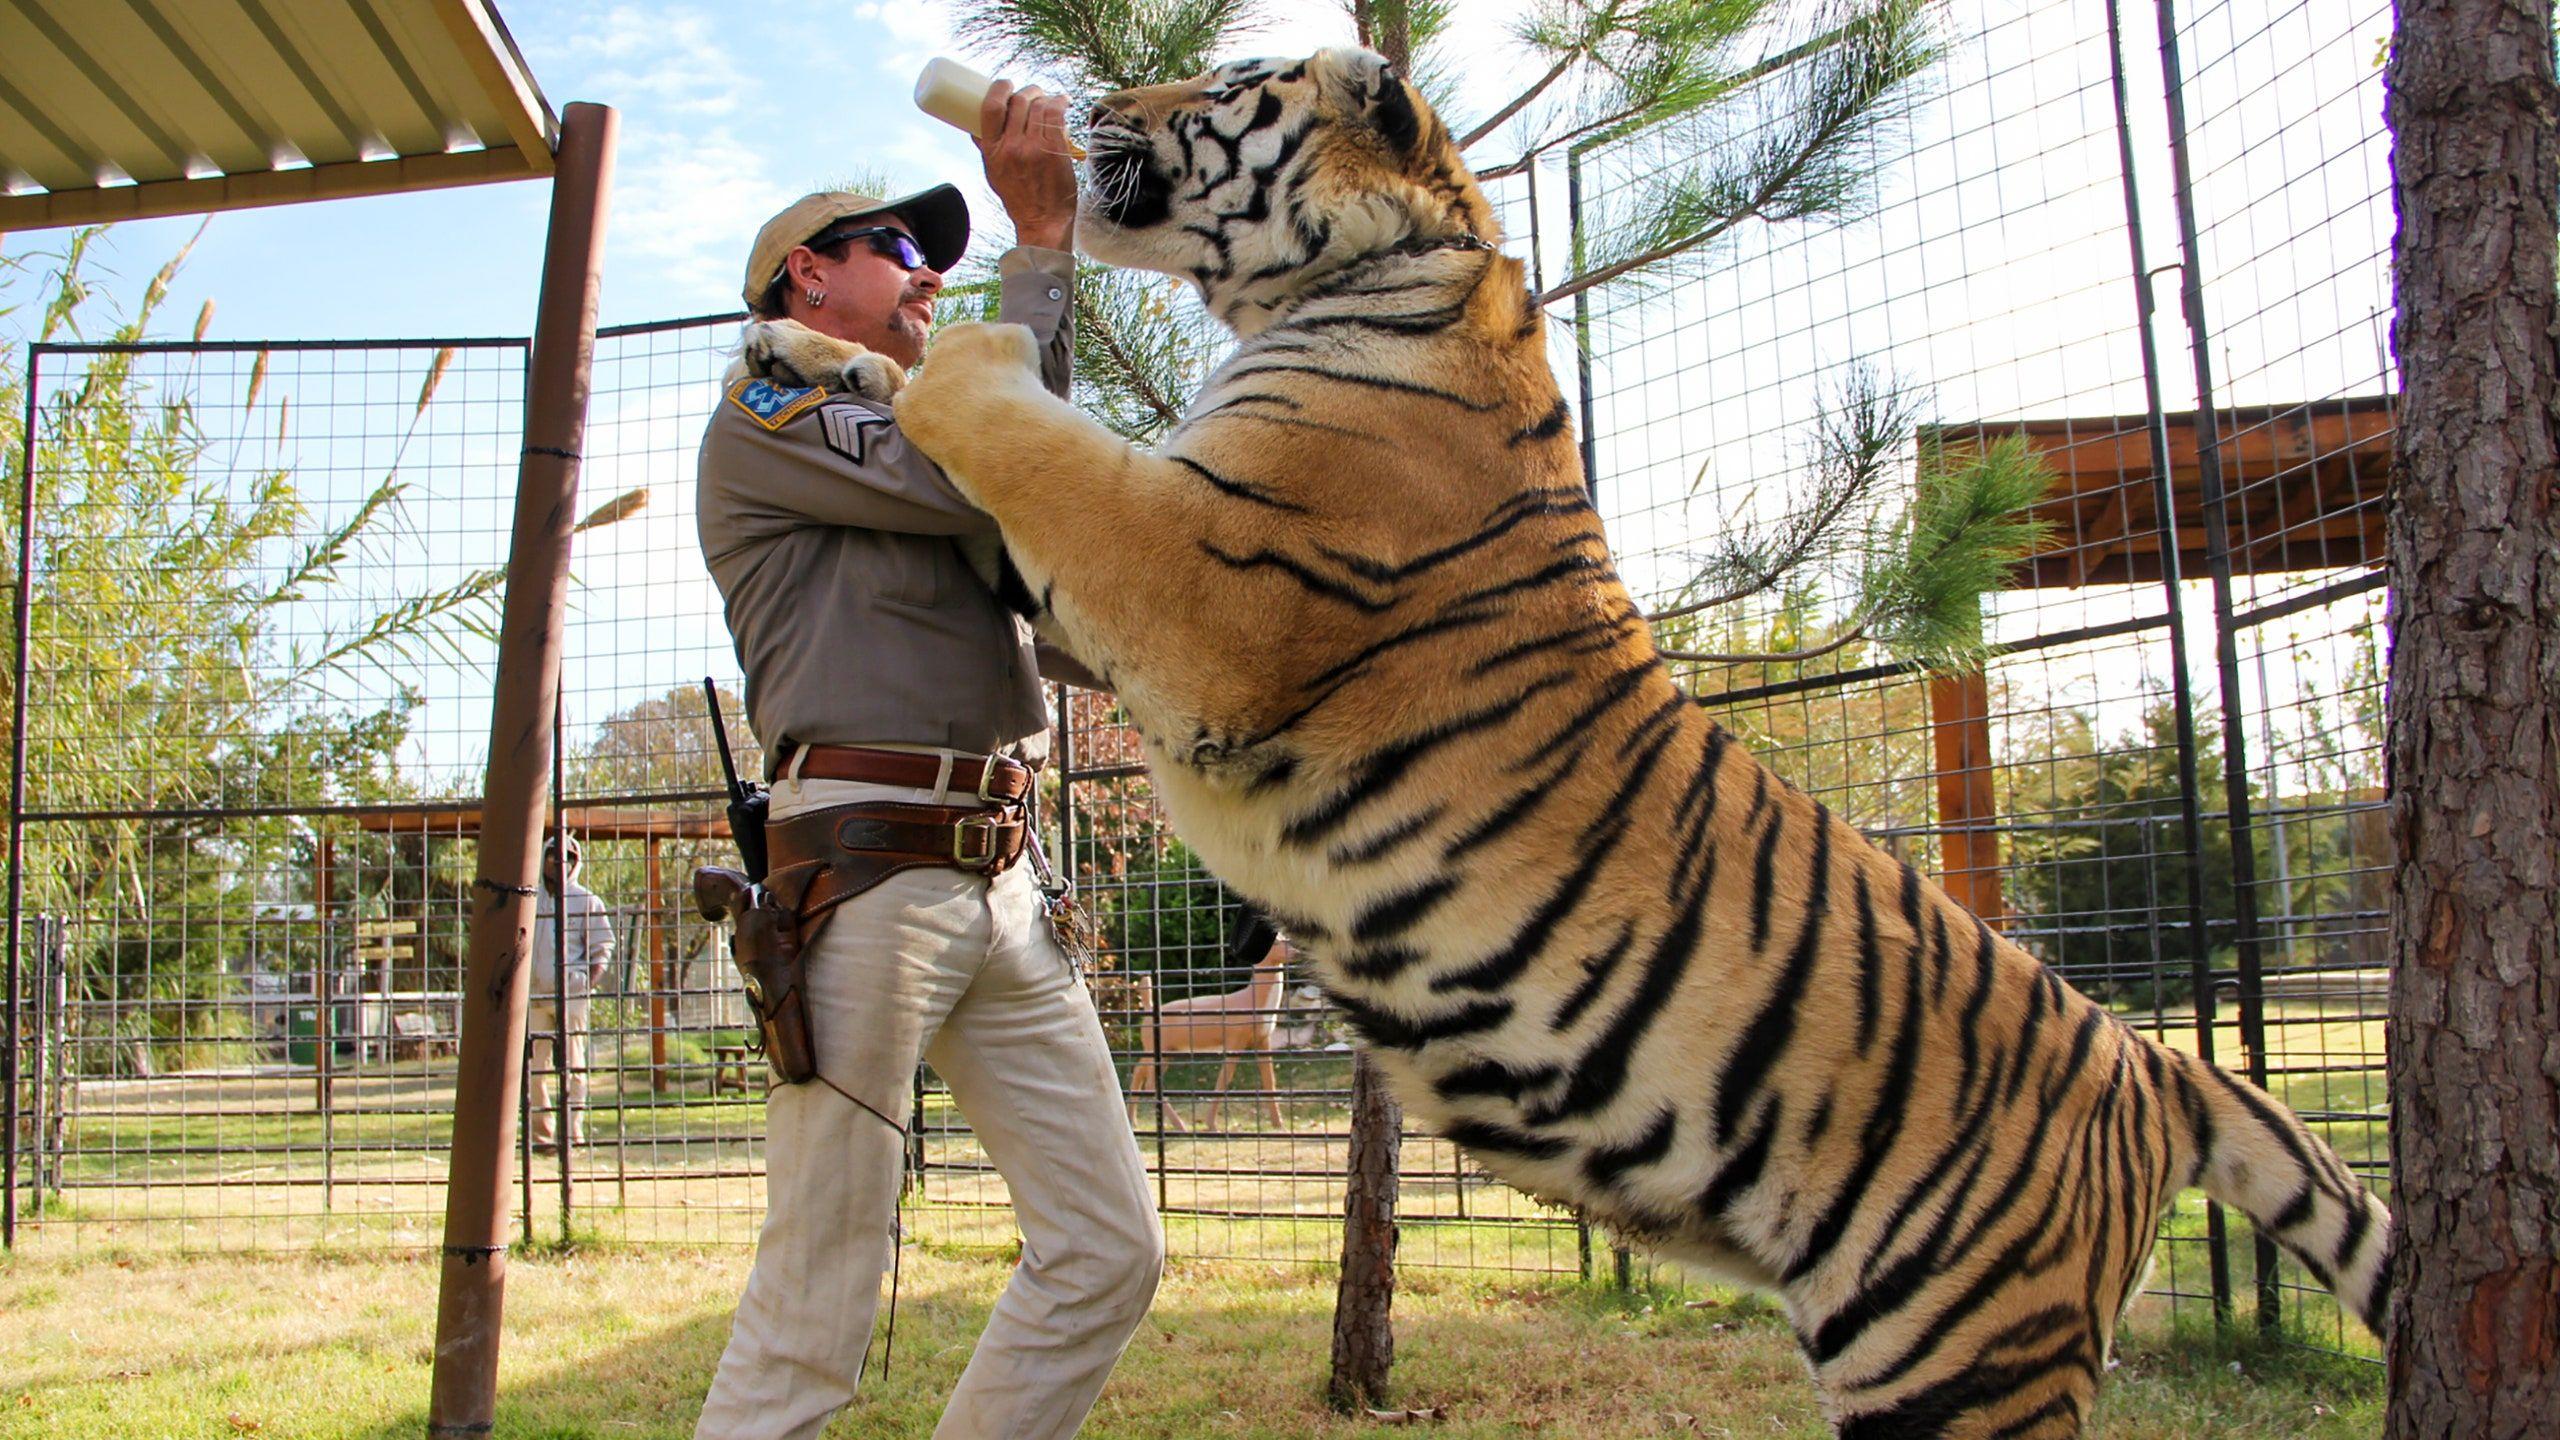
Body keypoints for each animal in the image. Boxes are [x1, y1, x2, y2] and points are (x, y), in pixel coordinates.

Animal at [877, 46, 2393, 1439]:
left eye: (1225, 80)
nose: (1092, 107)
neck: (1372, 272)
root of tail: (2152, 1065)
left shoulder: (1202, 582)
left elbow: (1037, 439)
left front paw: (944, 350)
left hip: (1961, 1359)